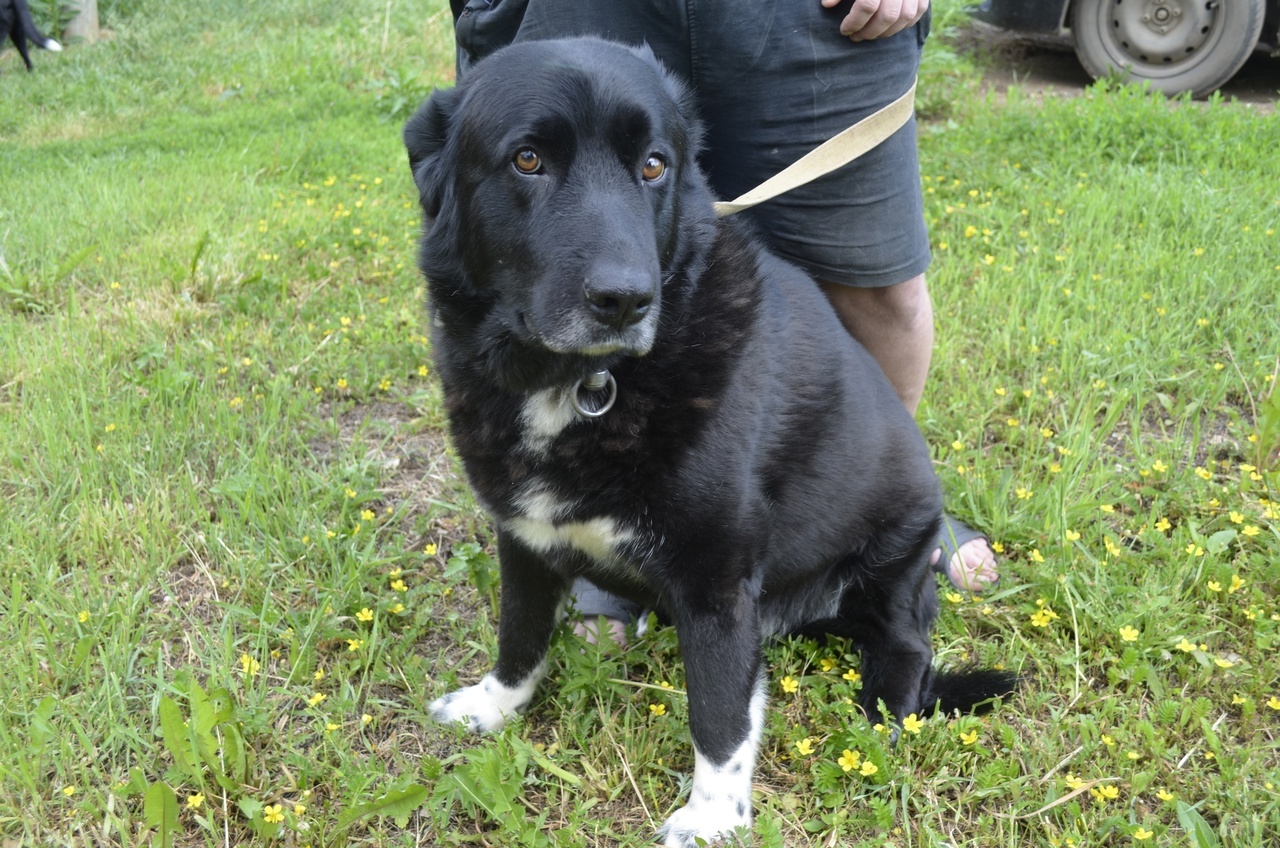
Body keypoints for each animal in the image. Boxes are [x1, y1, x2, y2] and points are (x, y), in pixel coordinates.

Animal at [404, 36, 1013, 845]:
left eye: (653, 165)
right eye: (527, 159)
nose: (627, 301)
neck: (583, 385)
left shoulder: (717, 582)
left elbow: (720, 712)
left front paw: (714, 815)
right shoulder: (525, 538)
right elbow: (520, 637)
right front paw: (493, 706)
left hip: (893, 556)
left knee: (908, 644)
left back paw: (884, 707)